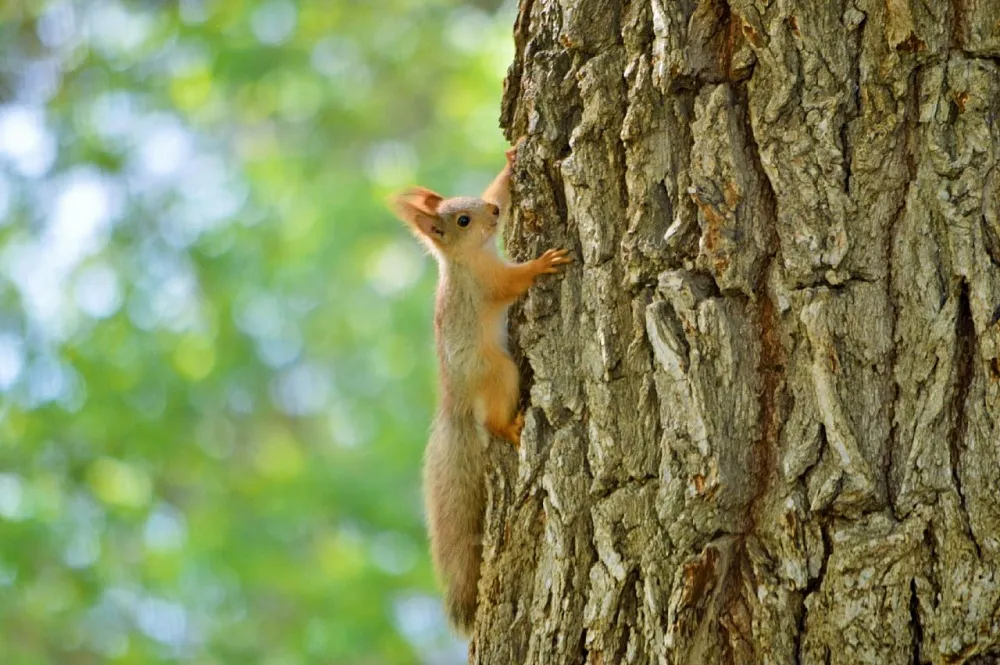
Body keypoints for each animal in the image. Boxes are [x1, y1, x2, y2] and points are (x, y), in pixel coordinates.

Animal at [388, 141, 568, 632]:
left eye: (472, 204)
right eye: (463, 221)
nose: (492, 213)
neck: (467, 260)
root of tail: (458, 404)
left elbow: (501, 191)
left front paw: (510, 162)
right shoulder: (488, 284)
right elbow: (513, 282)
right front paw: (543, 262)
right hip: (498, 372)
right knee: (494, 421)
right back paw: (513, 425)